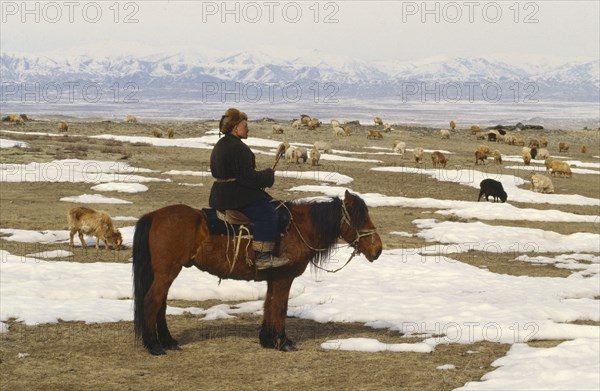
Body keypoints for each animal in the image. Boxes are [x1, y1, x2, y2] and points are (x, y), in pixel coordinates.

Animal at [134, 190, 382, 356]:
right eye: (360, 218)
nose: (377, 249)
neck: (298, 229)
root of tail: (154, 215)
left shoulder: (273, 279)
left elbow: (268, 304)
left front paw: (268, 340)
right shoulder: (284, 278)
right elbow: (280, 307)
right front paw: (283, 342)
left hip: (166, 273)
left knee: (160, 304)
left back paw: (168, 341)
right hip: (167, 272)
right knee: (151, 302)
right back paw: (154, 345)